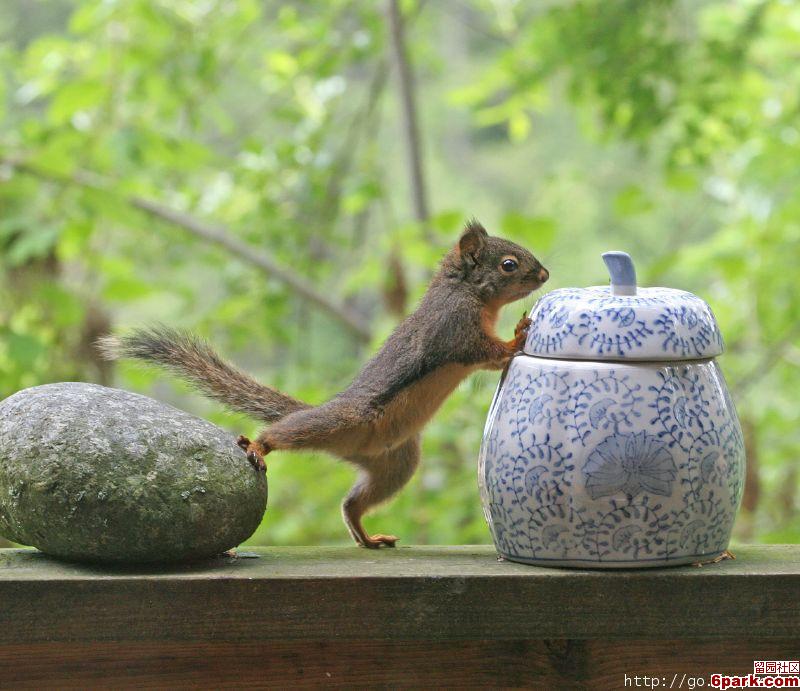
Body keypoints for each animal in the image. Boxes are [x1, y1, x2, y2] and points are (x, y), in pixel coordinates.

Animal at [99, 220, 548, 548]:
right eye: (509, 264)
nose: (544, 274)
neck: (467, 292)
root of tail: (352, 444)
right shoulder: (454, 328)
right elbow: (485, 351)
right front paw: (518, 336)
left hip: (396, 464)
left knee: (351, 503)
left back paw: (366, 536)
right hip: (340, 421)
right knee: (285, 433)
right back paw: (259, 446)